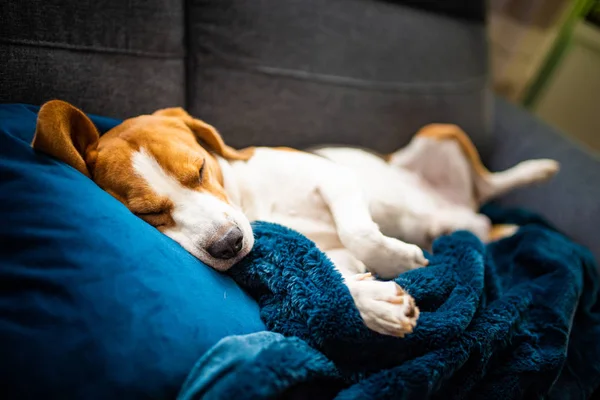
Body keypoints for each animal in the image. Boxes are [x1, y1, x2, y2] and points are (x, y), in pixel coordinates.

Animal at [31, 100, 556, 338]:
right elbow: (334, 276)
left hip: (439, 132)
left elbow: (360, 232)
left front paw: (399, 259)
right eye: (148, 214)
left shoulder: (335, 178)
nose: (228, 245)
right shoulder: (329, 253)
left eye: (199, 169)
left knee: (490, 183)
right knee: (483, 213)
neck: (252, 202)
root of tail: (466, 214)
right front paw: (375, 303)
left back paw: (537, 169)